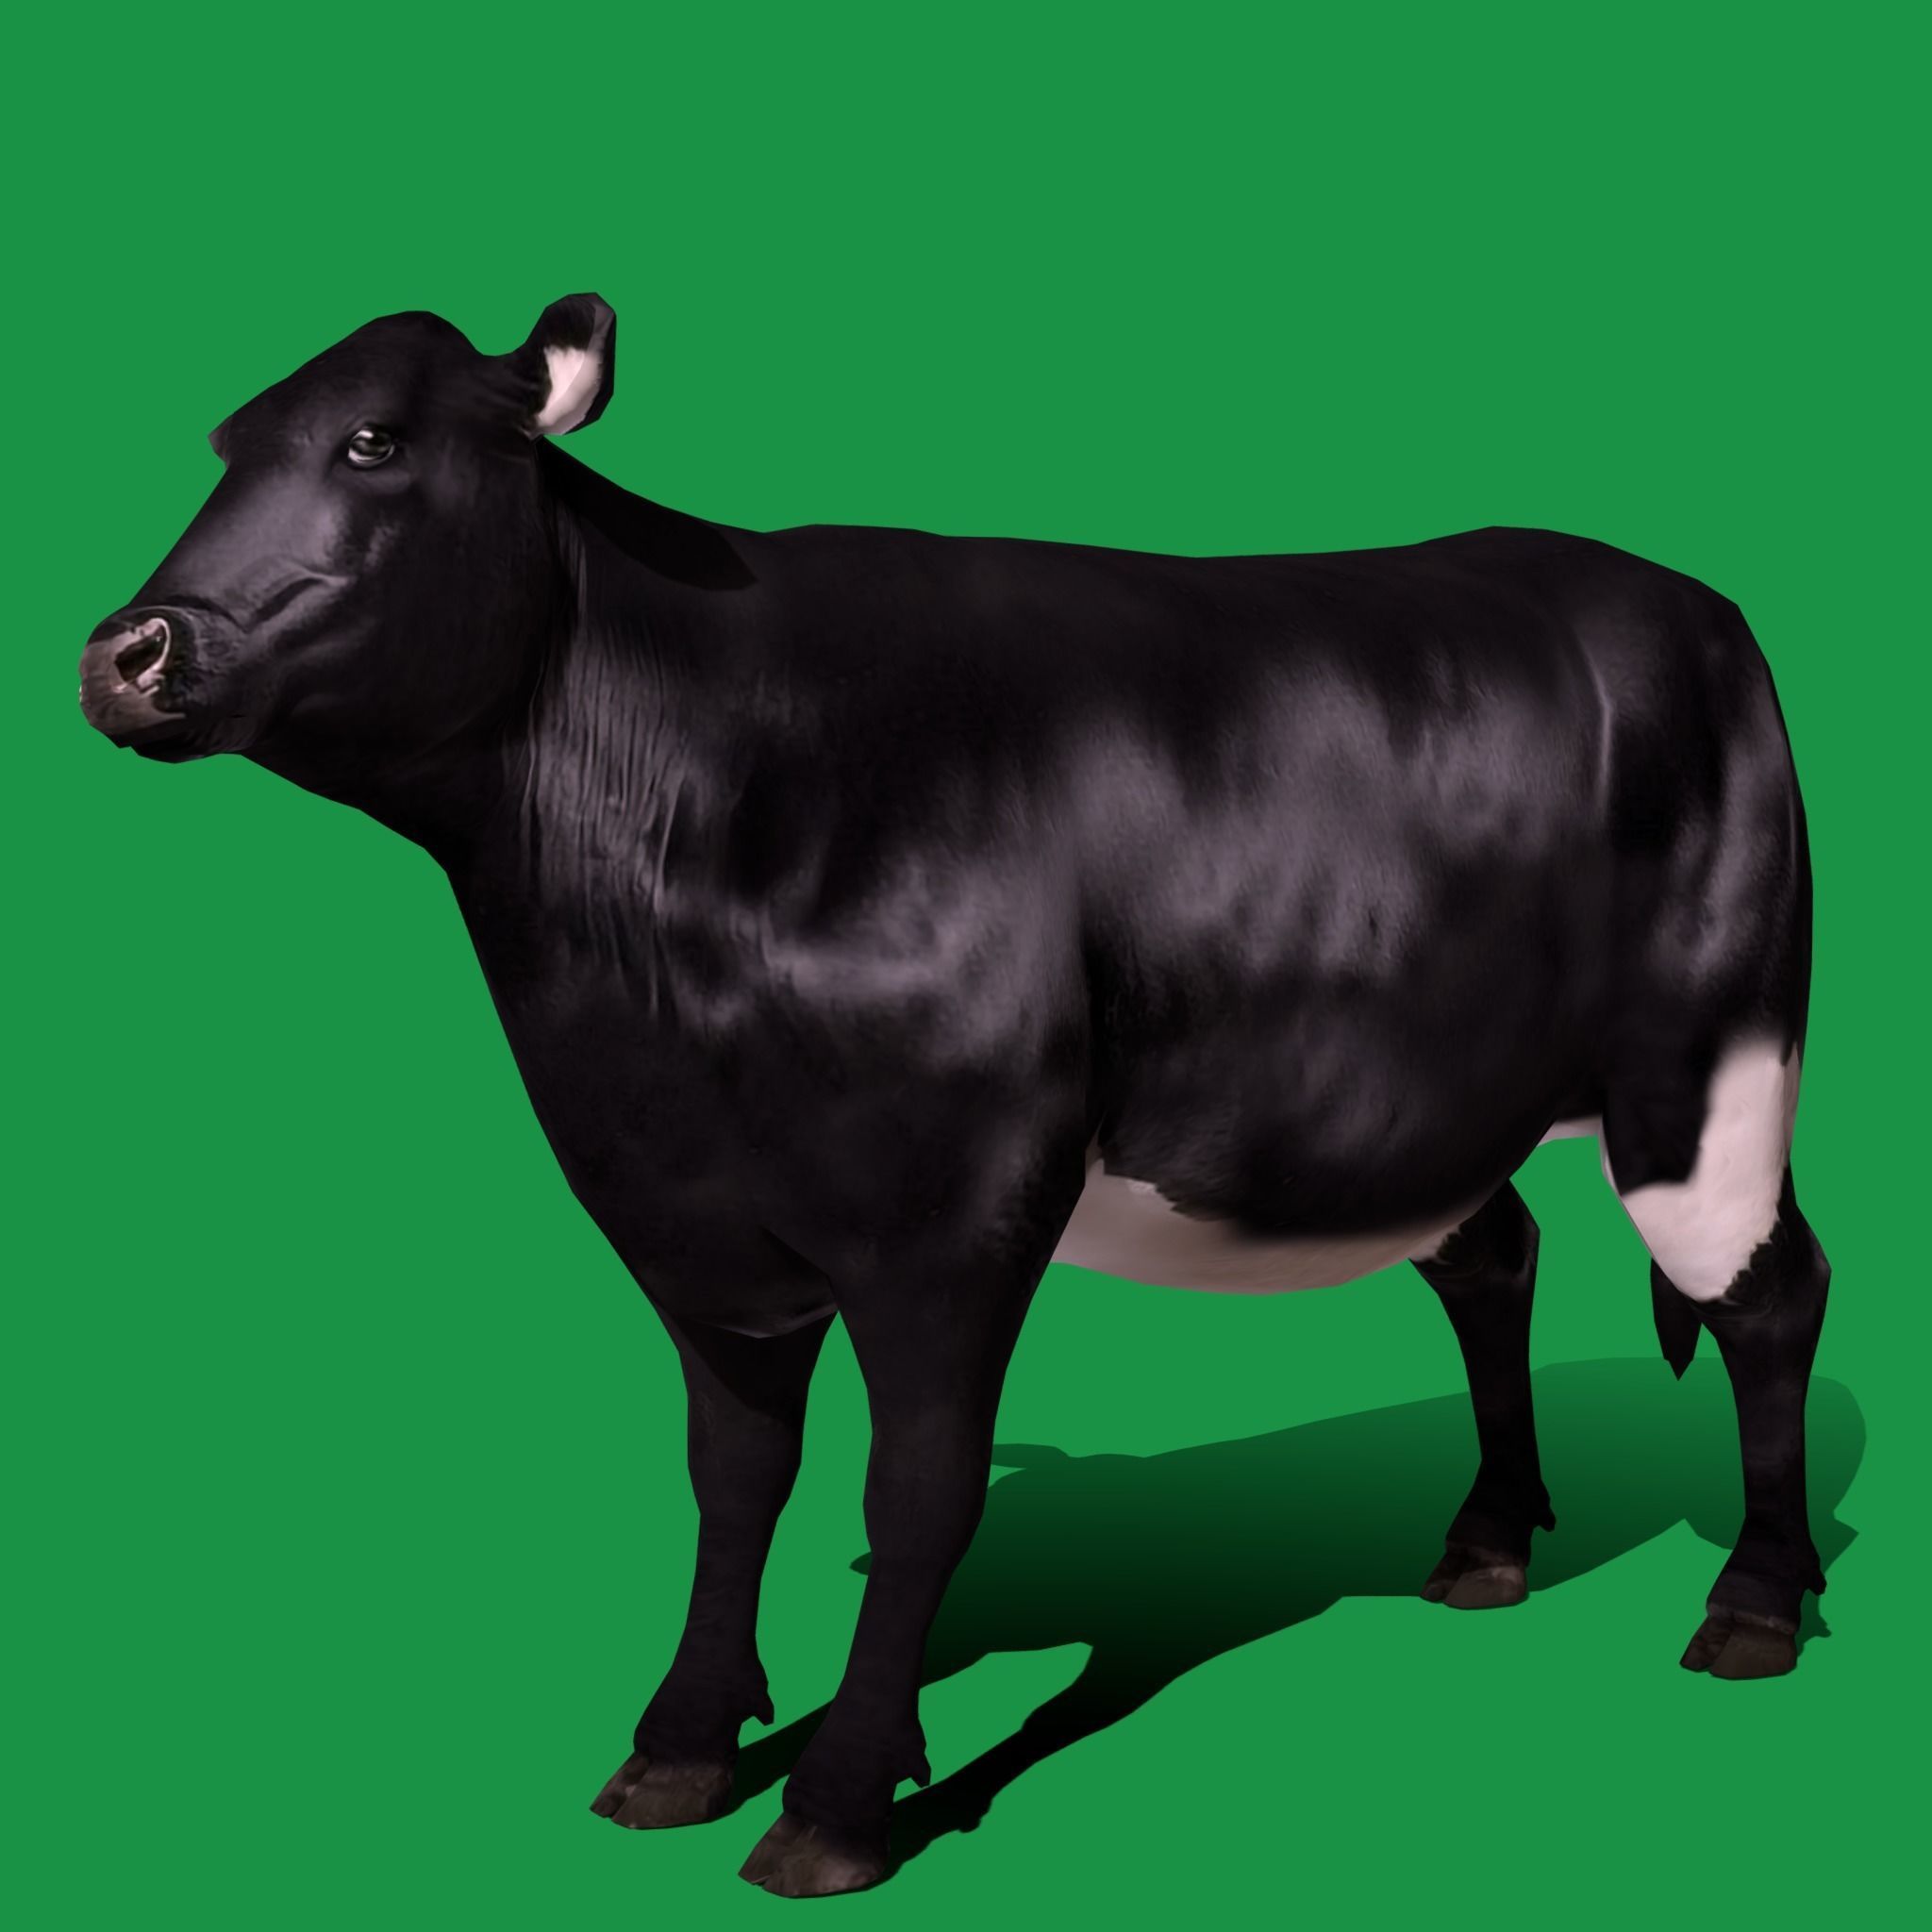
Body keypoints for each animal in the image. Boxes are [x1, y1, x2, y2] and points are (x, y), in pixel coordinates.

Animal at [77, 295, 1831, 1898]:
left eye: (375, 443)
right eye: (229, 444)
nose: (124, 655)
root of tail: (1669, 592)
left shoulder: (952, 1211)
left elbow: (914, 1493)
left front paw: (839, 1803)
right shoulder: (685, 1212)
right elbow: (733, 1475)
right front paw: (681, 1745)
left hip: (1707, 1065)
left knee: (1768, 1292)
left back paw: (1754, 1600)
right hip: (1436, 1098)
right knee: (1495, 1258)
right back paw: (1485, 1541)